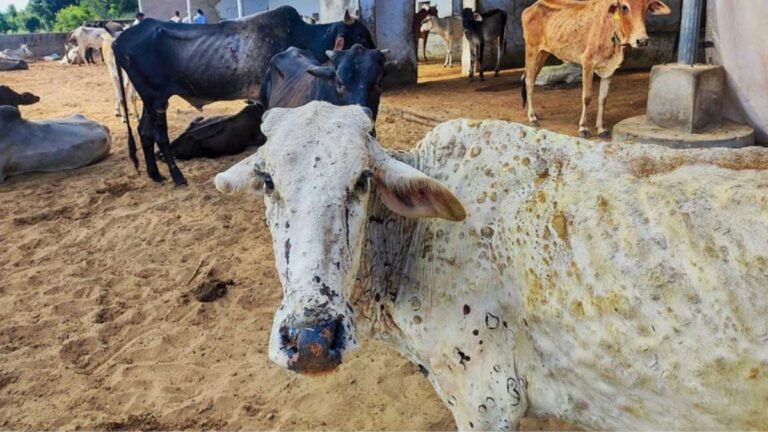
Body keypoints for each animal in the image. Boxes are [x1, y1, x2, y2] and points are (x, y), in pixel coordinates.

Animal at [112, 5, 375, 186]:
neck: (304, 35)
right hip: (156, 98)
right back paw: (177, 177)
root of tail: (119, 40)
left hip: (150, 99)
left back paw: (155, 175)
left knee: (144, 132)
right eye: (360, 36)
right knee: (160, 135)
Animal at [522, 0, 672, 138]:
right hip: (532, 50)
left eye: (647, 7)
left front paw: (601, 128)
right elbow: (587, 97)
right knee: (529, 81)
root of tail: (531, 7)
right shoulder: (587, 63)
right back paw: (532, 118)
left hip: (543, 53)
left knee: (531, 78)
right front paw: (583, 128)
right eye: (624, 7)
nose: (642, 41)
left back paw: (534, 113)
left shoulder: (609, 70)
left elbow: (603, 99)